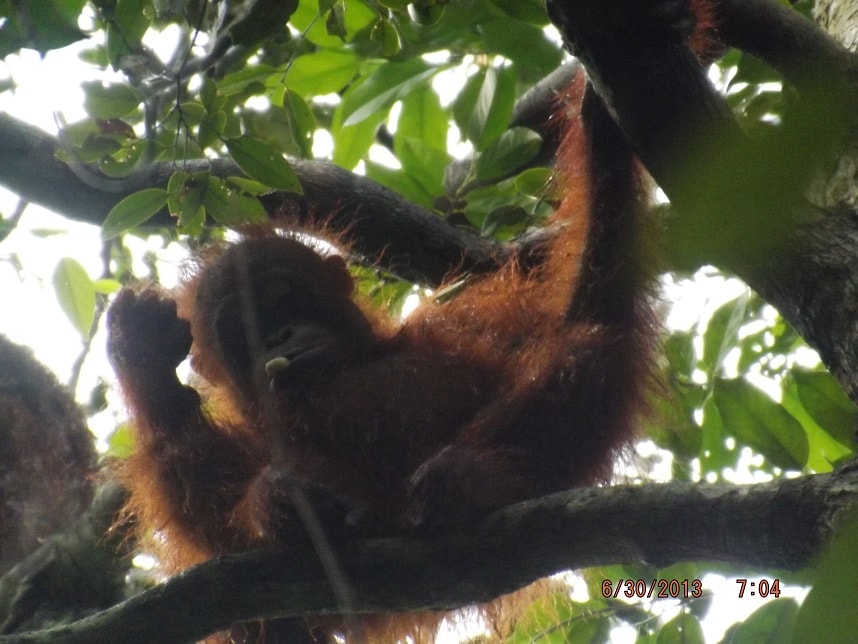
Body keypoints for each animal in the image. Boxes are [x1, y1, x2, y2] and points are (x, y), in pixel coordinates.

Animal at [107, 1, 717, 640]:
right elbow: (224, 547)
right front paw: (145, 360)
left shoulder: (464, 323)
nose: (279, 337)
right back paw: (289, 506)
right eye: (243, 334)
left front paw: (602, 113)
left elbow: (584, 309)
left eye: (286, 303)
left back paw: (469, 480)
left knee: (583, 350)